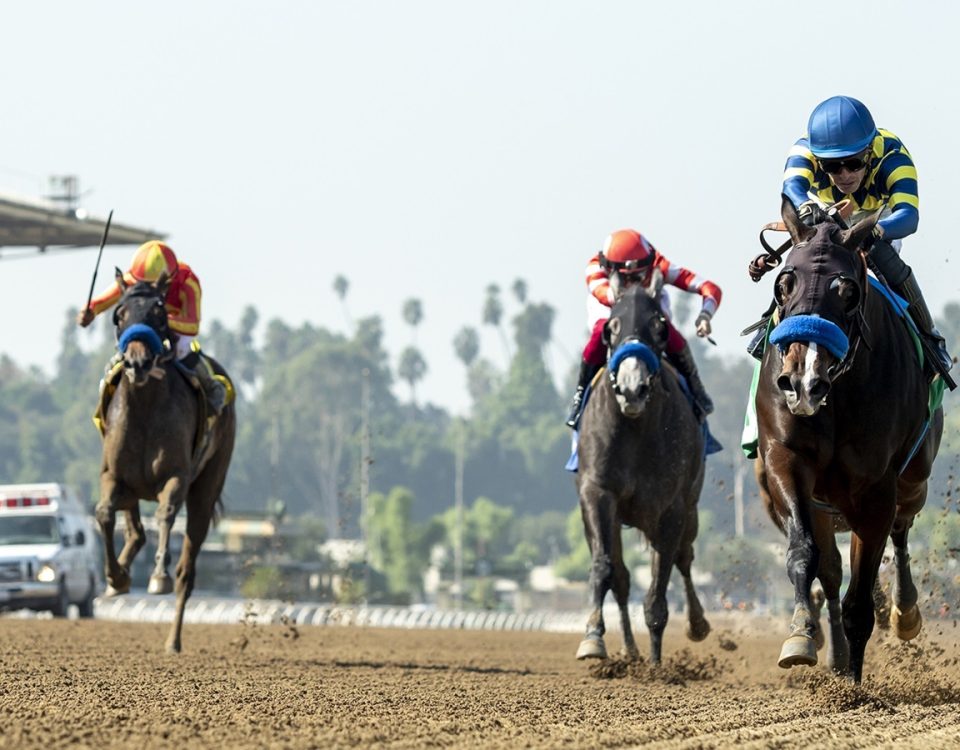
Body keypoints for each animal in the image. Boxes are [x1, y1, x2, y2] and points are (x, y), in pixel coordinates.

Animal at [94, 270, 236, 652]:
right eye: (119, 314)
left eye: (159, 312)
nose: (137, 363)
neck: (145, 406)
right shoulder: (113, 475)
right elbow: (104, 514)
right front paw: (115, 576)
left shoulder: (176, 476)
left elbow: (166, 513)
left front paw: (158, 575)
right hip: (131, 487)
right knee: (135, 530)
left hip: (209, 484)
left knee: (187, 569)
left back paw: (173, 640)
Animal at [572, 284, 708, 668]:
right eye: (611, 327)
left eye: (659, 327)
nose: (632, 389)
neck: (635, 426)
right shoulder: (597, 493)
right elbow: (605, 569)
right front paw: (593, 638)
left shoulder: (671, 507)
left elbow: (660, 585)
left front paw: (657, 665)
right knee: (621, 577)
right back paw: (629, 650)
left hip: (689, 510)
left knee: (684, 558)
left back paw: (696, 624)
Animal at [752, 197, 940, 684]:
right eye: (784, 283)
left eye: (848, 291)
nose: (802, 382)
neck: (836, 394)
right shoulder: (786, 462)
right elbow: (806, 555)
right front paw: (801, 637)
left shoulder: (875, 489)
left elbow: (862, 598)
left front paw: (853, 689)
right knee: (833, 573)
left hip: (915, 478)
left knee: (901, 531)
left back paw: (904, 611)